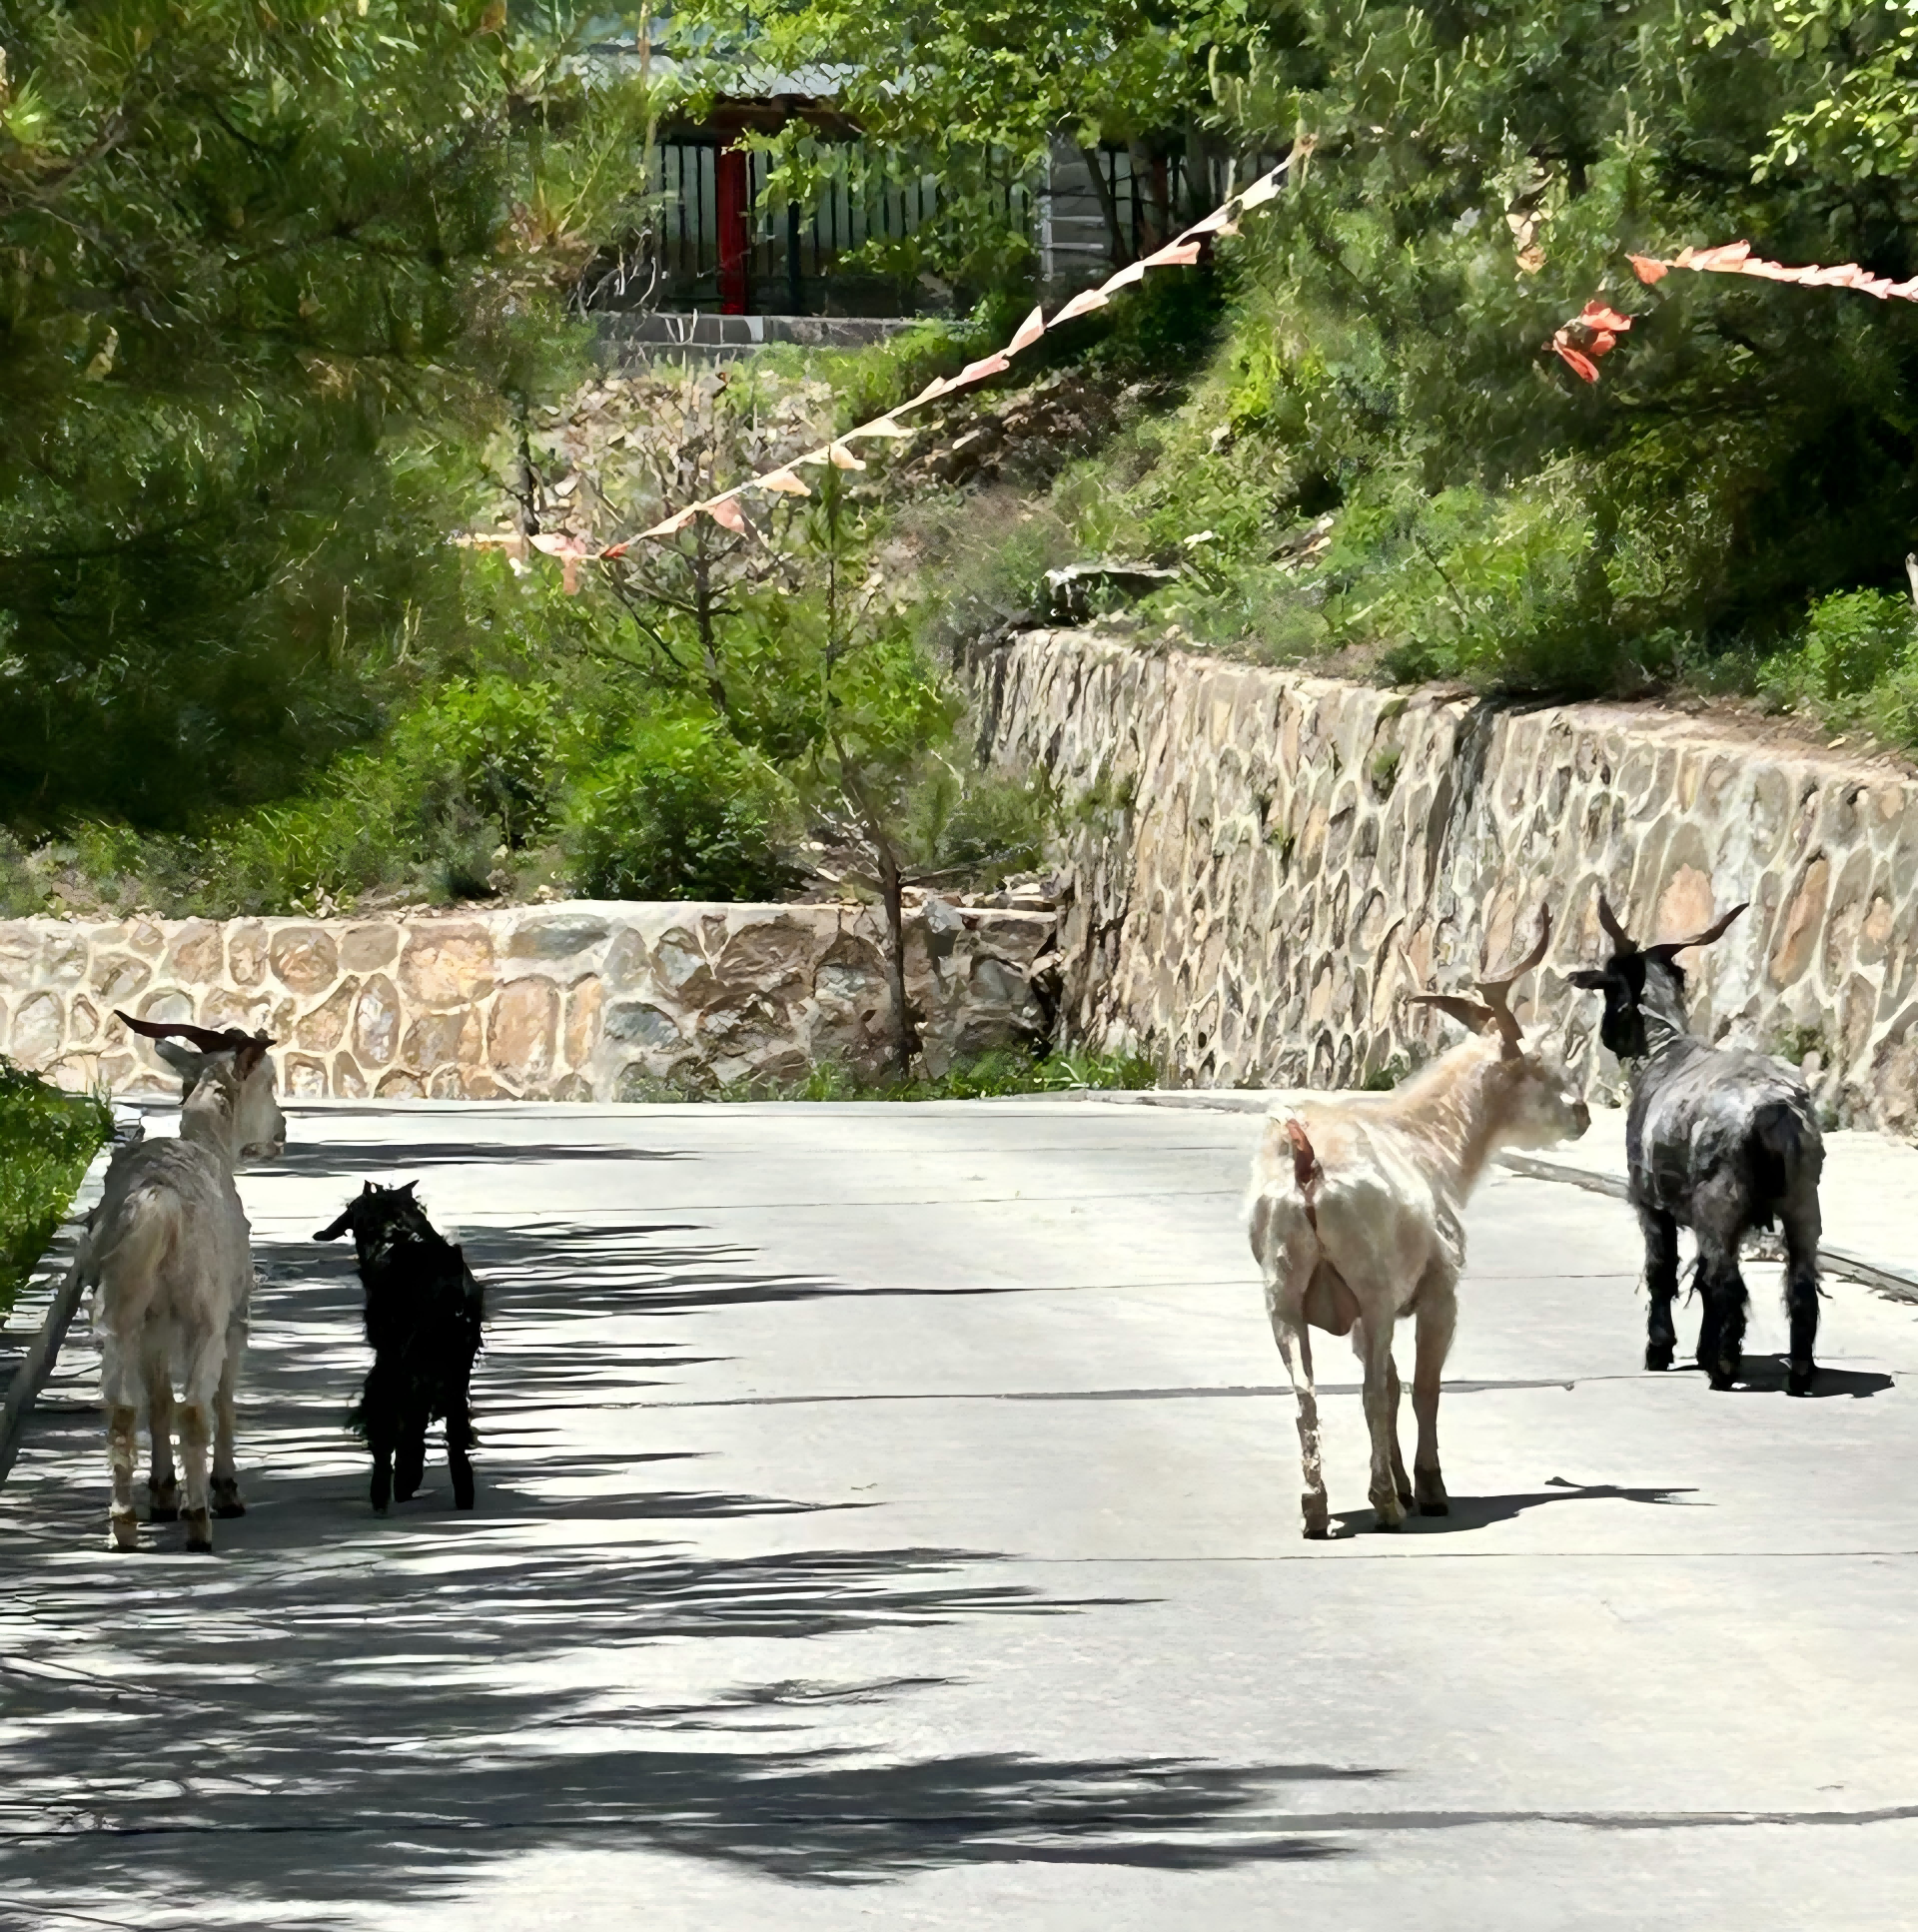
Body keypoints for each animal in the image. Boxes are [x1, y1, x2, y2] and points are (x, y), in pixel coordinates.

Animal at [91, 1015, 287, 1552]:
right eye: (269, 1082)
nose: (281, 1131)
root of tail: (159, 1202)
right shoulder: (233, 1315)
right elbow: (222, 1400)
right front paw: (226, 1490)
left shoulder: (154, 1325)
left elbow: (158, 1400)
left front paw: (161, 1494)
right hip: (204, 1311)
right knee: (197, 1407)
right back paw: (200, 1522)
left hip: (119, 1309)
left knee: (122, 1408)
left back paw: (123, 1524)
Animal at [314, 1182, 485, 1513]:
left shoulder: (393, 1356)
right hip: (455, 1363)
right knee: (455, 1425)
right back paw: (460, 1493)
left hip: (404, 1362)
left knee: (391, 1416)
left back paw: (390, 1487)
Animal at [1249, 908, 1591, 1537]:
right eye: (1539, 1065)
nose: (1581, 1114)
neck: (1430, 1146)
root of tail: (1306, 1168)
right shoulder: (1436, 1289)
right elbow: (1419, 1386)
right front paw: (1428, 1490)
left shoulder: (1359, 1316)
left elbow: (1387, 1379)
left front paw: (1408, 1484)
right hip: (1372, 1283)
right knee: (1367, 1391)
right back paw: (1384, 1504)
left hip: (1280, 1287)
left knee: (1306, 1392)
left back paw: (1317, 1509)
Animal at [1569, 894, 1825, 1394]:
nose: (1607, 1037)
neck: (1664, 1048)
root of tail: (1776, 1110)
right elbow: (1699, 1278)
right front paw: (1701, 1349)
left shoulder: (1650, 1202)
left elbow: (1663, 1272)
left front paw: (1660, 1349)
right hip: (1804, 1198)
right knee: (1798, 1281)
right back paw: (1799, 1373)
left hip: (1719, 1199)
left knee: (1728, 1280)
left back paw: (1724, 1369)